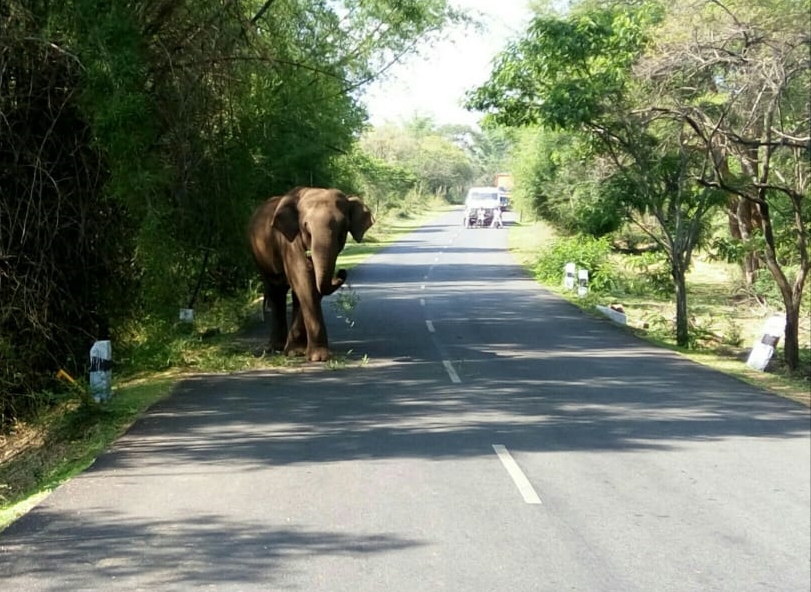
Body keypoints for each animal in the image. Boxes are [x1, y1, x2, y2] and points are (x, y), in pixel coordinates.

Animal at [249, 187, 376, 360]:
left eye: (343, 229)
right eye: (306, 228)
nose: (342, 272)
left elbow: (311, 288)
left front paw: (300, 352)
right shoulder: (290, 242)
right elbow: (304, 283)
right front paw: (317, 357)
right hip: (259, 256)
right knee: (276, 291)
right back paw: (276, 348)